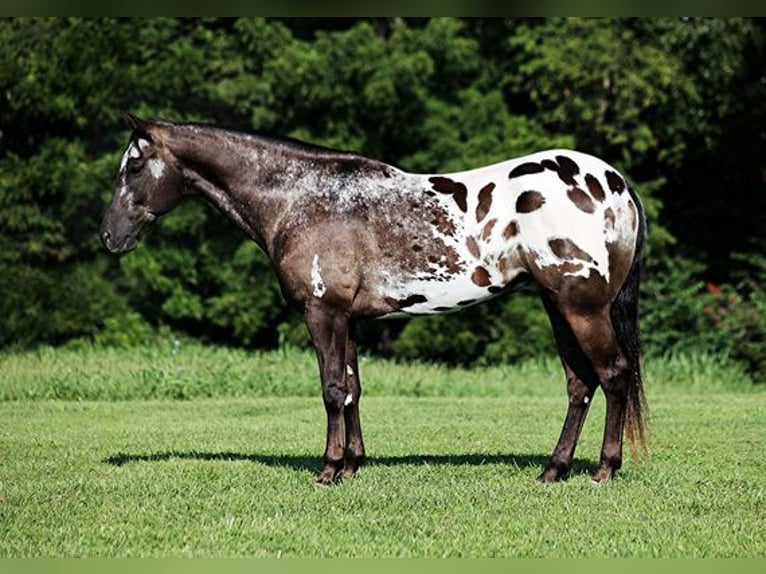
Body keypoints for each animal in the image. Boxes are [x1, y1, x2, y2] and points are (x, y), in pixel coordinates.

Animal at [103, 113, 648, 486]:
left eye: (134, 165)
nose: (110, 236)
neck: (301, 199)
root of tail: (617, 184)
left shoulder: (322, 314)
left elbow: (330, 390)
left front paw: (328, 469)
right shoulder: (348, 318)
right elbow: (352, 388)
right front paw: (353, 465)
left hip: (582, 308)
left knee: (613, 374)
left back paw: (604, 469)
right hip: (557, 306)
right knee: (580, 384)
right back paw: (553, 470)